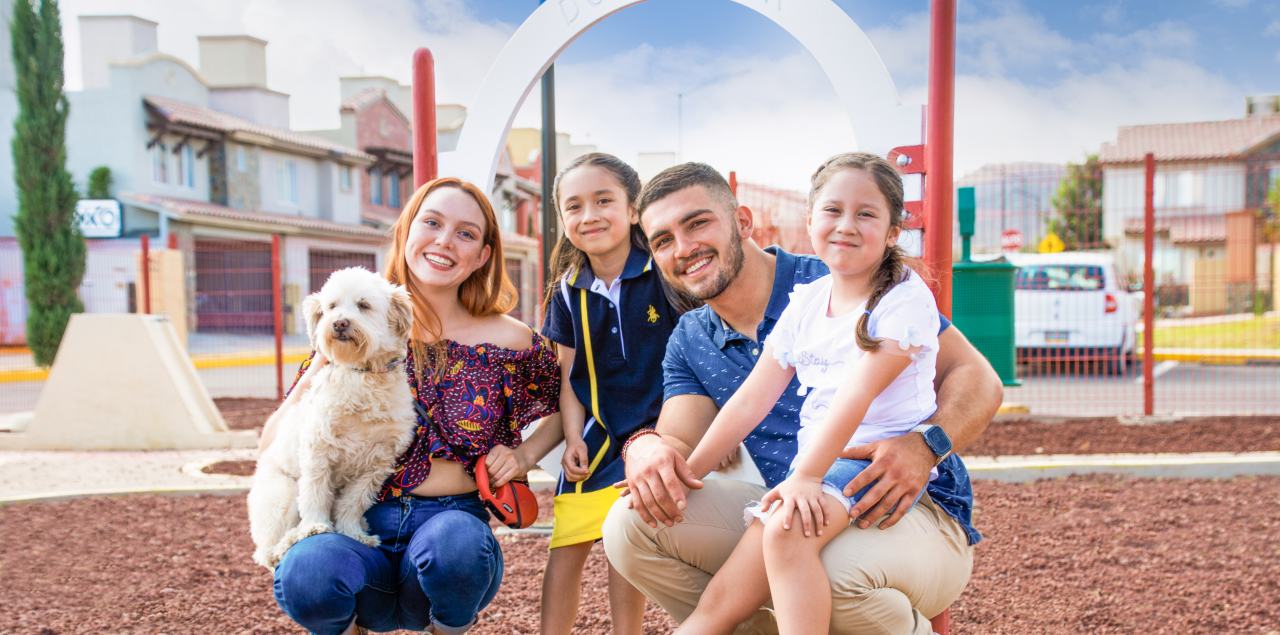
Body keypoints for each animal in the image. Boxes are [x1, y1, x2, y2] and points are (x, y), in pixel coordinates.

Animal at [244, 267, 414, 570]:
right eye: (332, 306)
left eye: (363, 305)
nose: (339, 323)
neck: (364, 377)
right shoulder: (318, 450)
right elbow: (315, 493)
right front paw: (315, 526)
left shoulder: (377, 463)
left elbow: (353, 502)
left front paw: (352, 532)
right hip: (283, 494)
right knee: (267, 552)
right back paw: (289, 540)